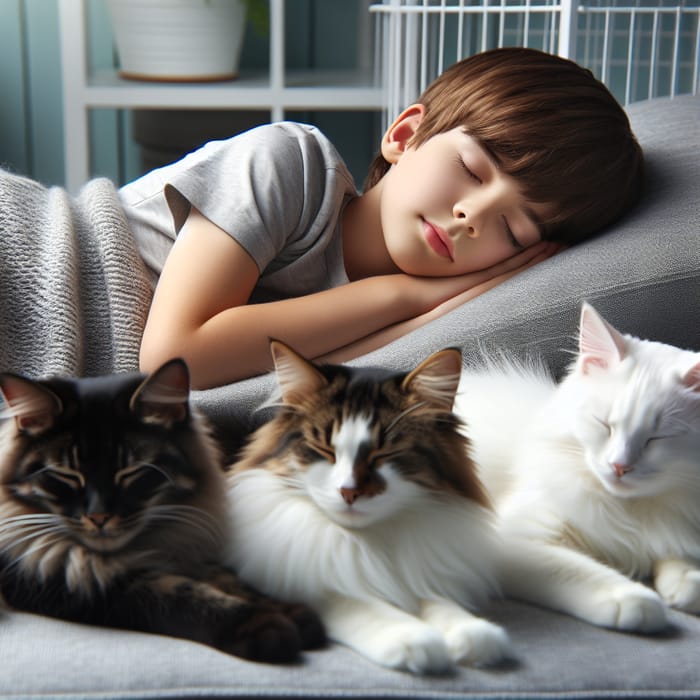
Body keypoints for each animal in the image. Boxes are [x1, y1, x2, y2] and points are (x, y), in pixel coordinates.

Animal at [223, 342, 508, 676]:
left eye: (385, 454)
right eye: (324, 450)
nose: (349, 491)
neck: (364, 542)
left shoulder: (411, 574)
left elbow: (434, 601)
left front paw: (473, 633)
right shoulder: (294, 581)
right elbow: (361, 603)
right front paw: (413, 639)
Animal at [456, 302, 696, 636]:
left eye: (656, 438)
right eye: (604, 424)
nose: (619, 466)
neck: (627, 510)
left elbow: (674, 550)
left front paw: (686, 581)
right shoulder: (508, 535)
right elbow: (574, 569)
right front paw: (632, 599)